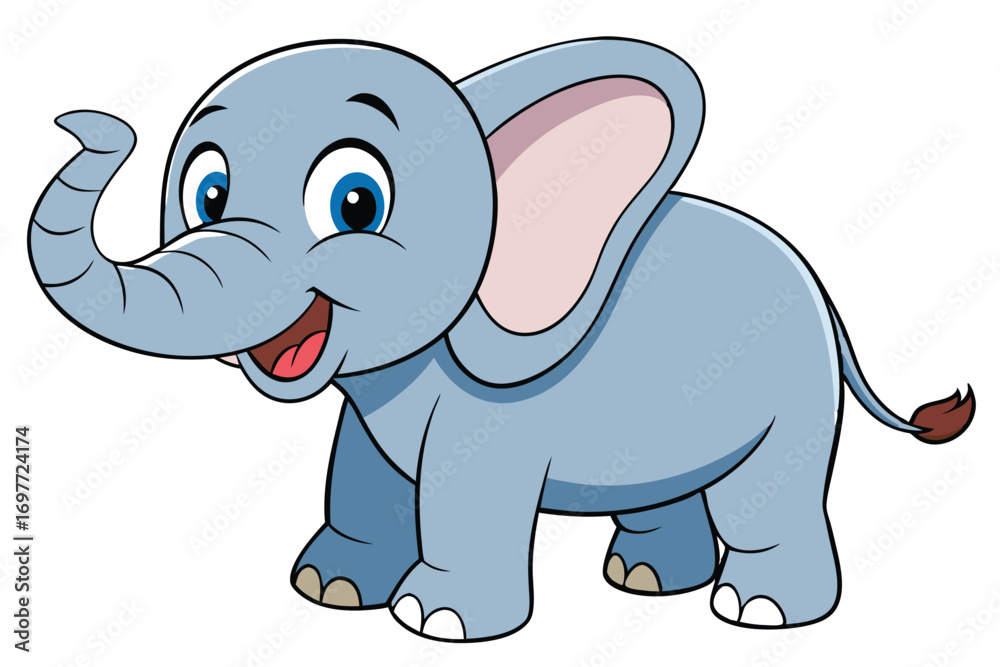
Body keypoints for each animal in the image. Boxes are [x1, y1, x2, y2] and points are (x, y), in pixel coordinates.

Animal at [28, 38, 976, 641]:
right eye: (208, 194)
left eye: (355, 203)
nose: (89, 123)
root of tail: (821, 288)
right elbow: (361, 473)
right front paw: (329, 591)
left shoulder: (494, 411)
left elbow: (462, 494)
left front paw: (435, 621)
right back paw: (643, 580)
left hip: (792, 391)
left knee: (767, 495)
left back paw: (761, 611)